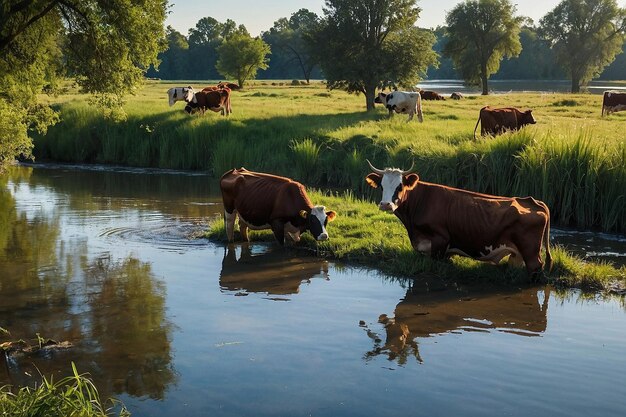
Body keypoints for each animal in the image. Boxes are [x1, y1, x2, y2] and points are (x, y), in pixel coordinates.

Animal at [366, 160, 552, 280]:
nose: (386, 204)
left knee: (536, 269)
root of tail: (531, 200)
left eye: (400, 186)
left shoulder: (440, 242)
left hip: (531, 254)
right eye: (381, 186)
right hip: (516, 255)